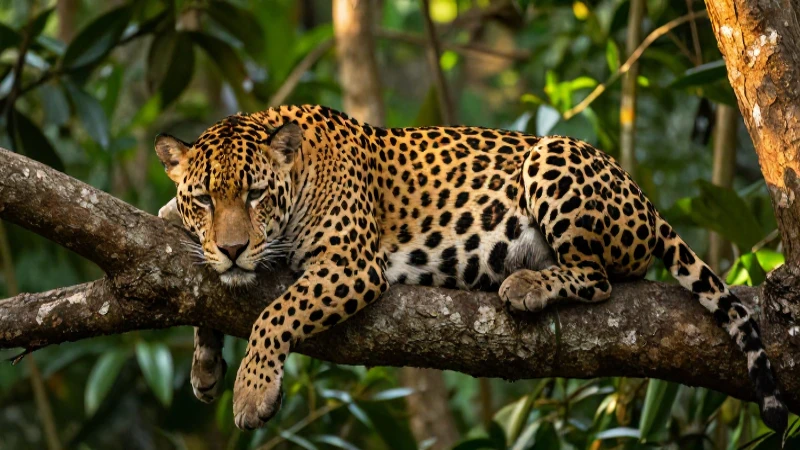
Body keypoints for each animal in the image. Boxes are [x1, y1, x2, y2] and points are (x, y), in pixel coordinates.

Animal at [154, 104, 787, 432]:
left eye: (257, 194)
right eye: (204, 199)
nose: (234, 248)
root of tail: (647, 201)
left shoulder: (350, 265)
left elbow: (276, 314)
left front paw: (251, 392)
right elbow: (200, 276)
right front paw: (206, 365)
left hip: (551, 156)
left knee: (601, 279)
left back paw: (527, 284)